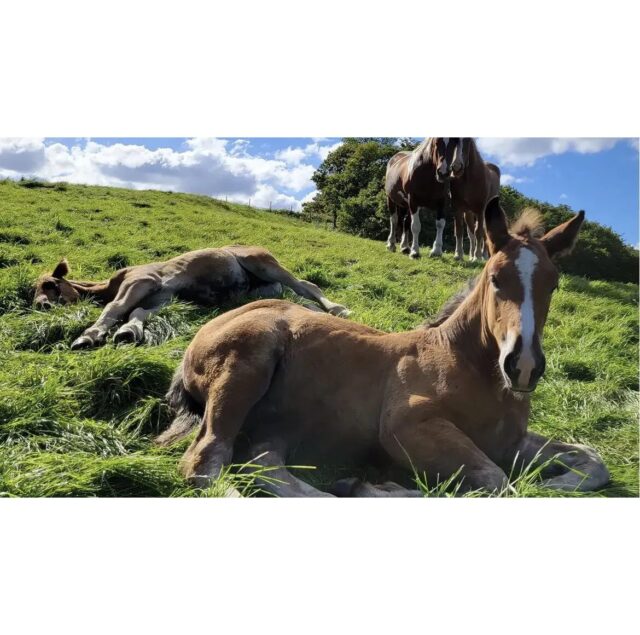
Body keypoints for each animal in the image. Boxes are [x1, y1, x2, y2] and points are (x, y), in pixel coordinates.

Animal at [33, 246, 350, 350]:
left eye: (49, 283)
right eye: (32, 290)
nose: (40, 305)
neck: (114, 282)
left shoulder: (143, 282)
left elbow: (116, 307)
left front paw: (87, 336)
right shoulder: (162, 297)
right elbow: (137, 313)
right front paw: (128, 332)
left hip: (262, 263)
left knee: (306, 284)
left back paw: (339, 309)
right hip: (264, 289)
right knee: (298, 298)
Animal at [156, 197, 609, 497]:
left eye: (553, 284)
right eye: (496, 279)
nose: (524, 366)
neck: (467, 367)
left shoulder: (511, 442)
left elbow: (593, 462)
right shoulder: (407, 426)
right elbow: (497, 481)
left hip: (280, 423)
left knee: (263, 463)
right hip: (245, 366)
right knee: (206, 462)